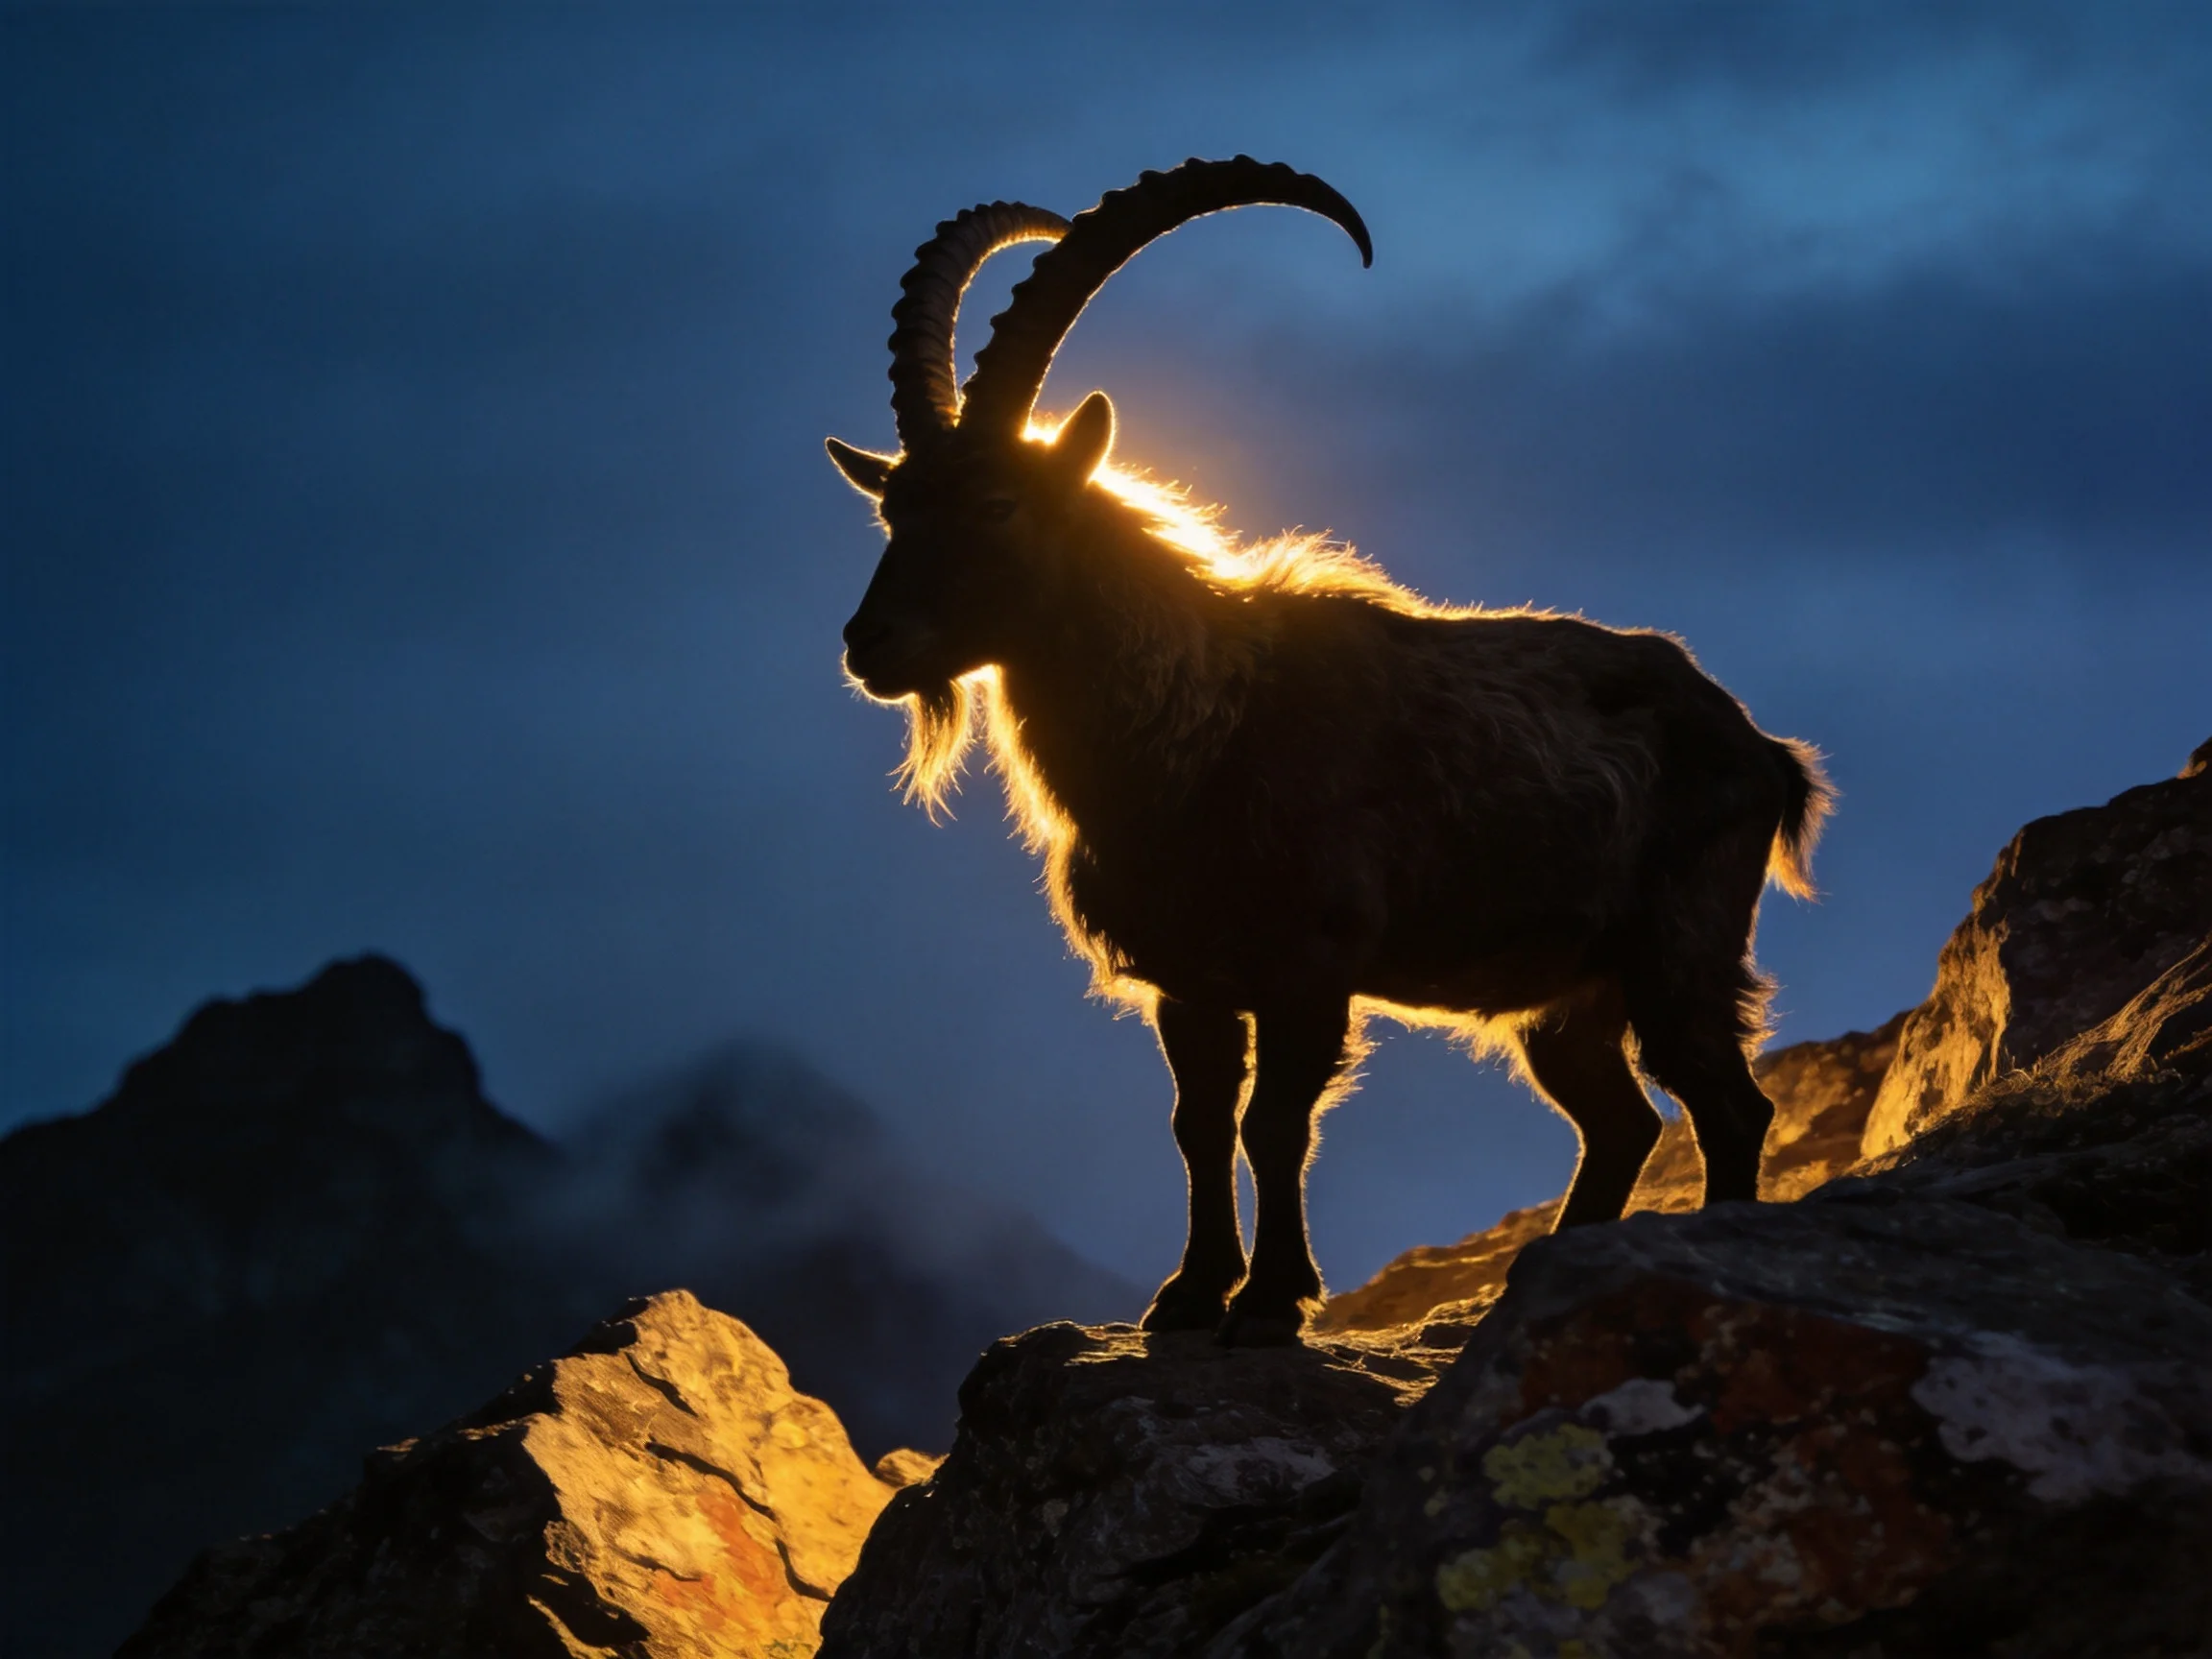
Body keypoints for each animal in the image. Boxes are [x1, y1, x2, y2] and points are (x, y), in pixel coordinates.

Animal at [826, 158, 1831, 1344]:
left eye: (998, 502)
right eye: (892, 508)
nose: (870, 644)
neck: (1195, 730)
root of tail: (1761, 747)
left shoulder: (1309, 966)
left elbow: (1277, 1124)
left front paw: (1269, 1303)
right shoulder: (1190, 983)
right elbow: (1199, 1123)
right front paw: (1188, 1296)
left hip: (1680, 949)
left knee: (1731, 1106)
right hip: (1570, 999)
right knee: (1622, 1121)